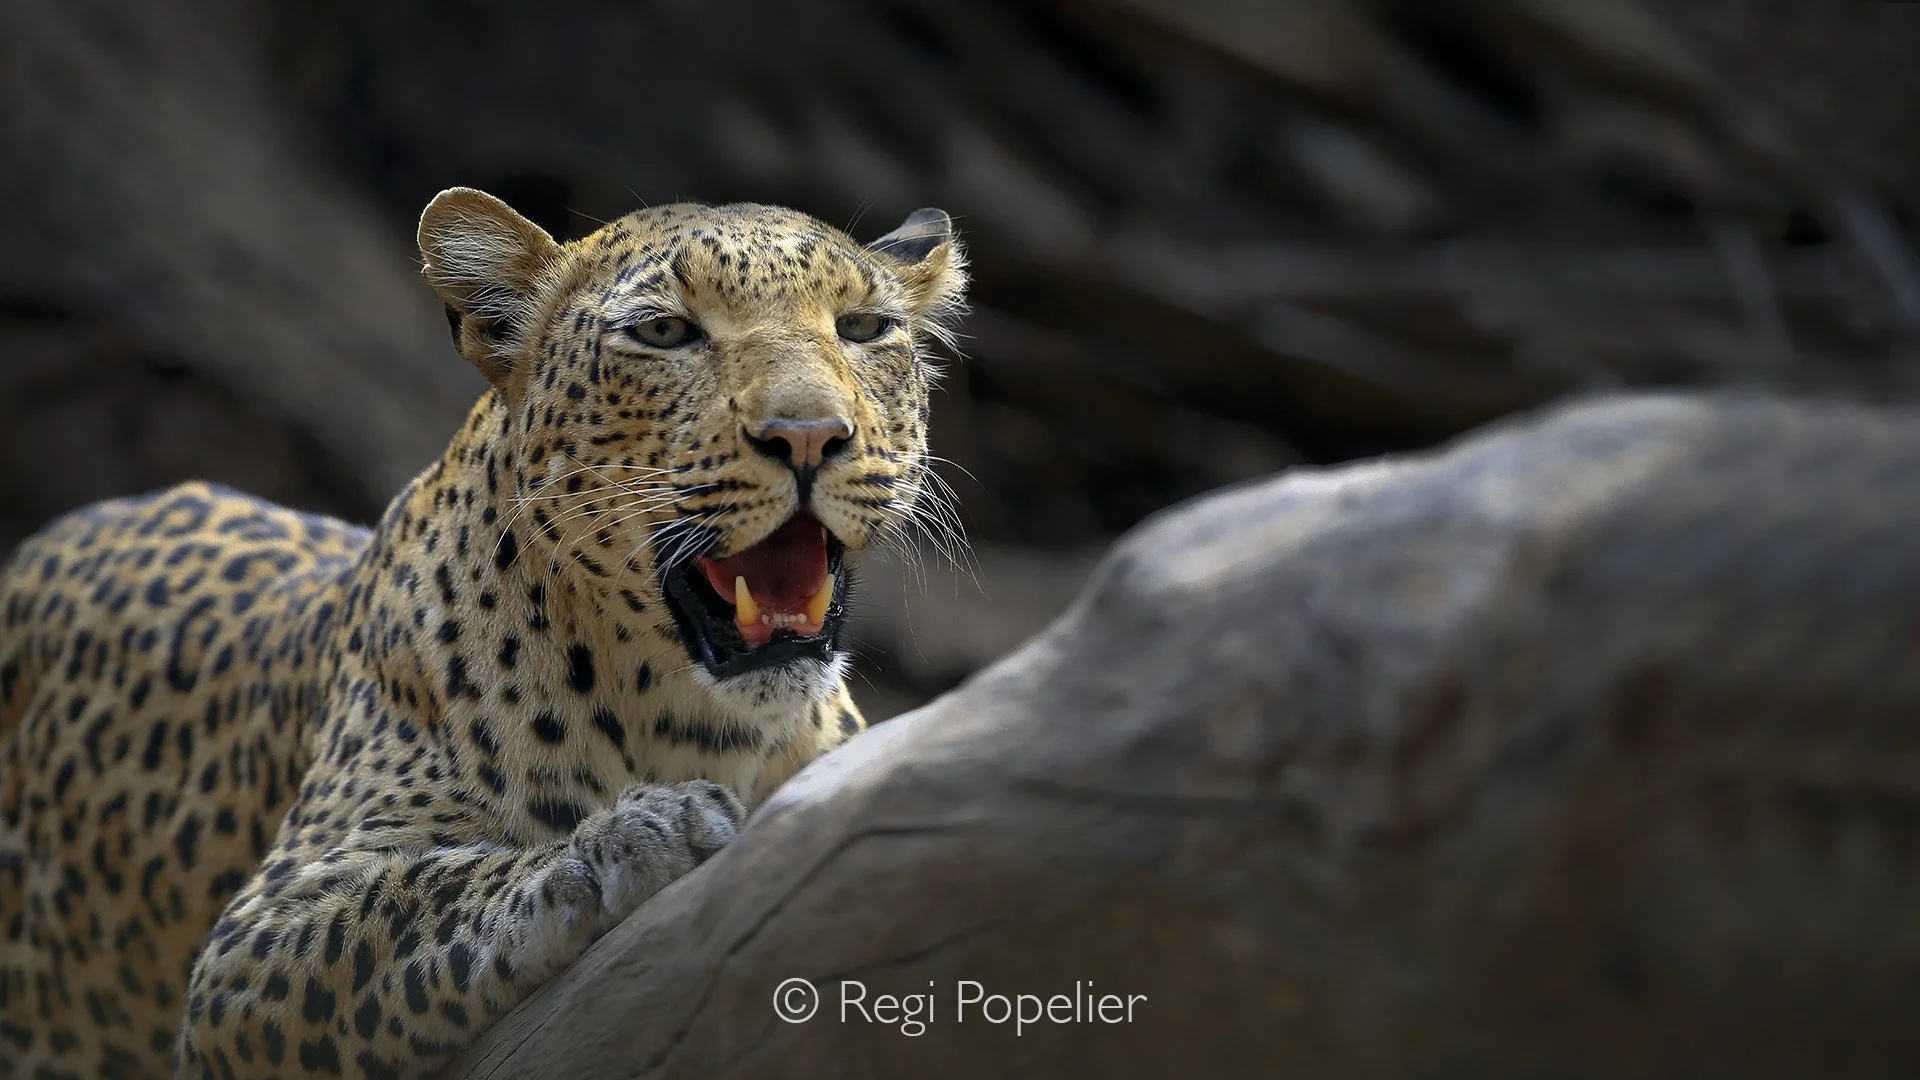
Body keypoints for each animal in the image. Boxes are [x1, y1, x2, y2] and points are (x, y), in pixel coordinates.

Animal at [0, 186, 968, 1078]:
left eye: (864, 327)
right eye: (663, 333)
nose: (809, 435)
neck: (707, 725)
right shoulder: (250, 946)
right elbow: (410, 897)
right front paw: (626, 839)